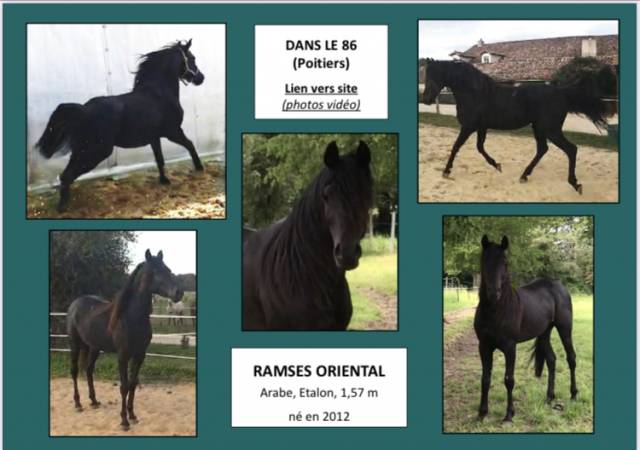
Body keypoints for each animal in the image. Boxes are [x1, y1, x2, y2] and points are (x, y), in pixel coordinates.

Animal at [36, 39, 205, 211]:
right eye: (192, 58)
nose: (201, 78)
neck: (159, 94)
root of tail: (84, 110)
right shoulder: (173, 132)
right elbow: (190, 145)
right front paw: (199, 167)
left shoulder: (154, 138)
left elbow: (160, 159)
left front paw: (164, 181)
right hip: (96, 151)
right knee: (67, 175)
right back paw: (63, 207)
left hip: (82, 150)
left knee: (66, 175)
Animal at [66, 249, 183, 430]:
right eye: (155, 271)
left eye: (168, 270)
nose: (179, 293)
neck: (131, 318)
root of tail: (75, 304)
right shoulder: (123, 356)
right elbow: (124, 386)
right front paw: (124, 421)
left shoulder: (139, 356)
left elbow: (133, 384)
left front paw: (133, 415)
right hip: (75, 345)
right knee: (74, 371)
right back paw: (78, 404)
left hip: (94, 348)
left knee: (89, 370)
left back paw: (94, 401)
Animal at [421, 59, 615, 194]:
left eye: (433, 75)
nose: (426, 99)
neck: (475, 93)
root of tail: (561, 92)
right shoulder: (481, 127)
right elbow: (480, 148)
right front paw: (497, 165)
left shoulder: (468, 127)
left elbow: (456, 147)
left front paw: (446, 171)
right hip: (539, 128)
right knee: (543, 149)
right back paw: (524, 176)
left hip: (551, 130)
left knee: (571, 149)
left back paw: (575, 184)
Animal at [474, 235, 577, 422]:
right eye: (484, 260)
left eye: (505, 262)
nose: (494, 294)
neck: (496, 311)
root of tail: (559, 286)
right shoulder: (484, 346)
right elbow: (485, 379)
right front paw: (482, 413)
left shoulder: (510, 347)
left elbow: (509, 380)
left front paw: (509, 414)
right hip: (544, 333)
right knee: (551, 360)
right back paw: (549, 397)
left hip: (564, 329)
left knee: (571, 358)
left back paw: (573, 394)